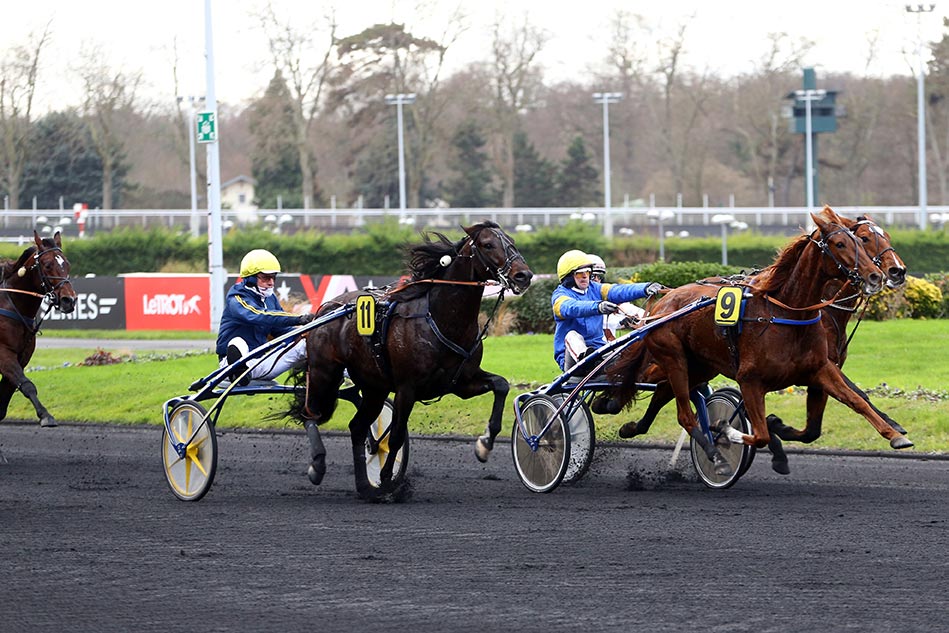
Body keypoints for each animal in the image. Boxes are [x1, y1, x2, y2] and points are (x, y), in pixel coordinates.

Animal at [0, 232, 76, 430]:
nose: (69, 300)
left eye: (67, 264)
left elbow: (11, 385)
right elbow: (25, 384)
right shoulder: (3, 351)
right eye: (47, 264)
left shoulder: (23, 354)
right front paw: (45, 415)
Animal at [294, 221, 532, 498]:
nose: (524, 275)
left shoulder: (462, 382)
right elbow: (396, 435)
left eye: (512, 241)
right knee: (310, 413)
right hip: (324, 373)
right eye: (488, 244)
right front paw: (388, 478)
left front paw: (484, 444)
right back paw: (318, 465)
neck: (441, 319)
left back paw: (364, 486)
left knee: (357, 427)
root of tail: (326, 308)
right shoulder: (407, 389)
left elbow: (501, 385)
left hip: (374, 387)